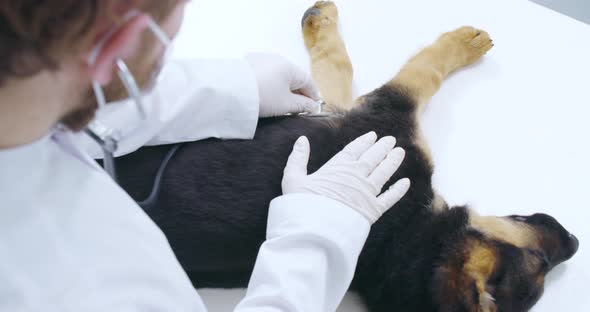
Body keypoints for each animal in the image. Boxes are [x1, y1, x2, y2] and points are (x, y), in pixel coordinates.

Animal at [113, 1, 580, 310]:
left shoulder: (367, 117)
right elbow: (415, 68)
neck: (408, 234)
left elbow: (354, 69)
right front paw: (464, 43)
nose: (575, 242)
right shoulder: (376, 116)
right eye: (540, 261)